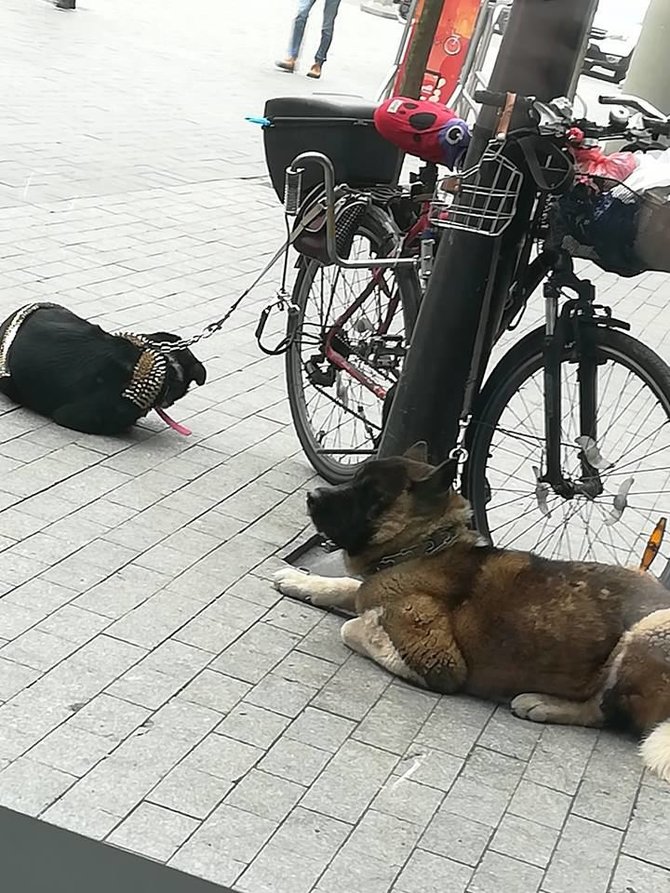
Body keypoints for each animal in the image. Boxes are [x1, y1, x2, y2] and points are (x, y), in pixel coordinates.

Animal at [276, 446, 670, 780]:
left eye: (371, 495)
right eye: (355, 479)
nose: (312, 496)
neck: (425, 546)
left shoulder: (440, 661)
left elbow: (355, 627)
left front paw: (364, 621)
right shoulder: (370, 587)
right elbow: (350, 588)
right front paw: (300, 580)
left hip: (646, 630)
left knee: (605, 712)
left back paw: (541, 703)